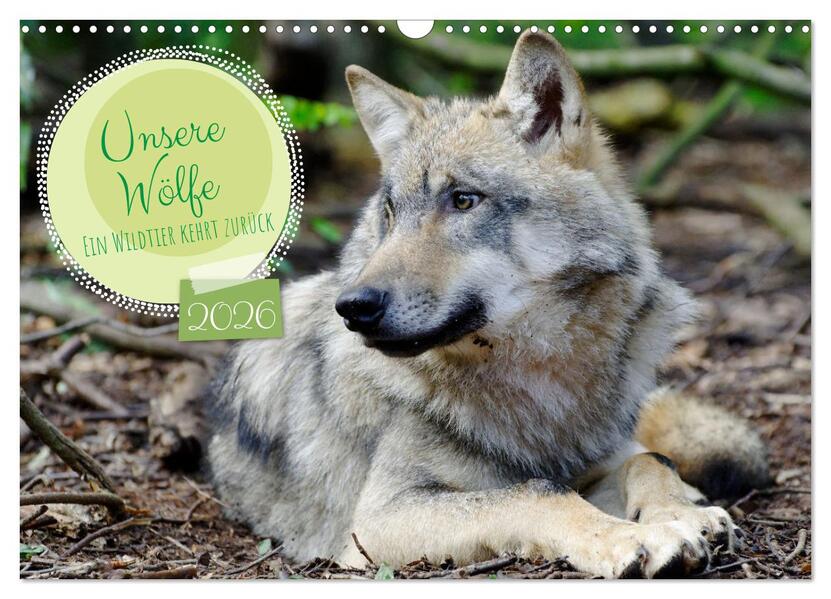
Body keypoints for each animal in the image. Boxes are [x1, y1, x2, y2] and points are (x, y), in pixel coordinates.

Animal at [206, 31, 769, 578]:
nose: (354, 306)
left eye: (463, 200)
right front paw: (632, 538)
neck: (538, 382)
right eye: (391, 213)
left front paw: (682, 515)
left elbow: (649, 459)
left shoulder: (600, 457)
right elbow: (538, 493)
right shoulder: (377, 521)